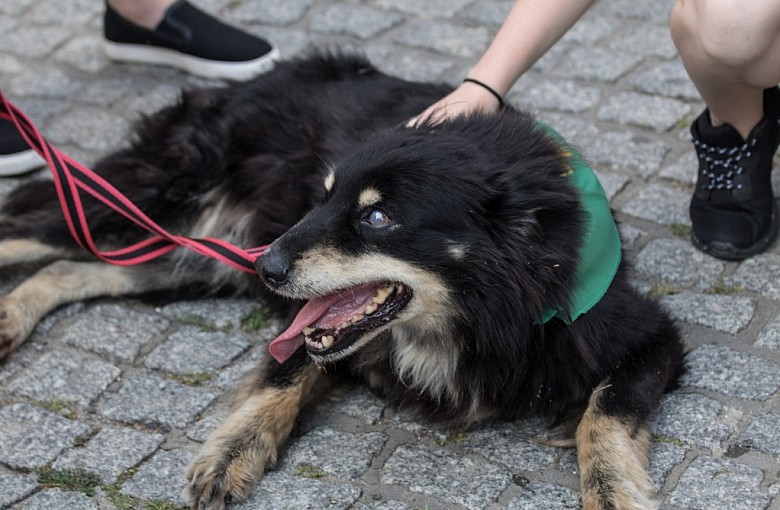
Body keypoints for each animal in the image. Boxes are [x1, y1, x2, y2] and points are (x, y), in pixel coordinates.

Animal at [0, 53, 684, 508]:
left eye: (377, 217)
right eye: (323, 196)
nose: (266, 267)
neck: (485, 305)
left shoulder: (648, 338)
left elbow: (603, 413)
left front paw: (614, 492)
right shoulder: (303, 324)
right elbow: (288, 369)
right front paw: (233, 450)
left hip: (191, 252)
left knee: (70, 265)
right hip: (155, 201)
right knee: (34, 231)